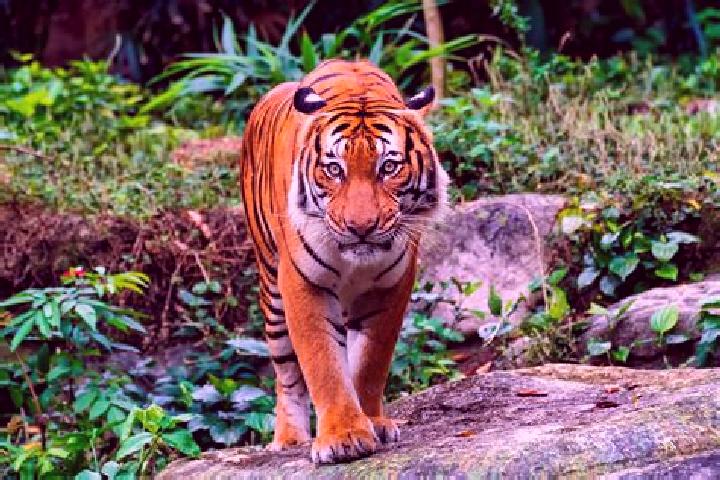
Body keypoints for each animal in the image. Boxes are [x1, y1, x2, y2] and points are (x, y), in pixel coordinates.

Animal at [240, 59, 448, 464]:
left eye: (388, 168)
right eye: (334, 169)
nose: (361, 227)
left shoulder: (391, 285)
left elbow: (369, 362)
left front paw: (372, 422)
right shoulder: (303, 283)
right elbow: (322, 362)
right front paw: (344, 437)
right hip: (272, 290)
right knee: (286, 374)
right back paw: (290, 439)